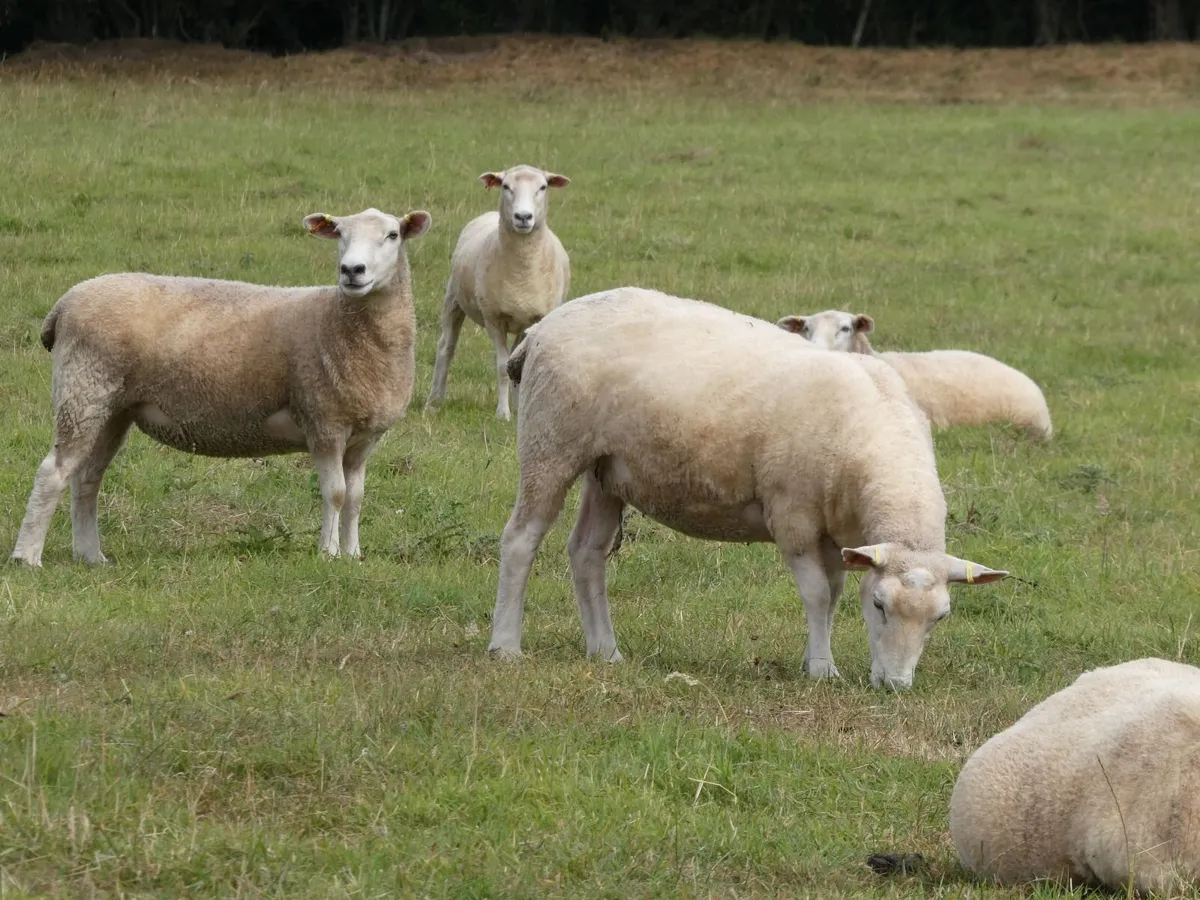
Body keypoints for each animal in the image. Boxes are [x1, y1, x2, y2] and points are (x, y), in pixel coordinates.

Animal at [11, 207, 432, 566]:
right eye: (340, 234)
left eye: (393, 235)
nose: (352, 270)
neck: (343, 323)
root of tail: (64, 304)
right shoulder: (324, 422)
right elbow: (336, 493)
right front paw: (327, 555)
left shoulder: (364, 436)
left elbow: (356, 499)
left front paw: (353, 556)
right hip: (83, 391)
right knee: (53, 472)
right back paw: (27, 557)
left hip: (111, 407)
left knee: (87, 478)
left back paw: (90, 556)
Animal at [424, 164, 571, 421]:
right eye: (506, 186)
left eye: (543, 187)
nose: (523, 217)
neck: (523, 273)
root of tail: (489, 215)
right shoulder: (494, 319)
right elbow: (503, 367)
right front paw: (503, 414)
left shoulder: (537, 318)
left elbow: (519, 363)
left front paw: (520, 410)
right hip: (453, 299)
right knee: (445, 347)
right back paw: (435, 401)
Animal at [487, 287, 1008, 690]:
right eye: (879, 605)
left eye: (940, 618)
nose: (895, 686)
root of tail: (542, 328)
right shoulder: (793, 516)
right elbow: (818, 595)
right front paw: (822, 670)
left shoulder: (838, 535)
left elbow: (835, 595)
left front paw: (817, 657)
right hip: (551, 443)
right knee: (521, 540)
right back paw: (506, 646)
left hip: (607, 469)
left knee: (587, 553)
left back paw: (605, 651)